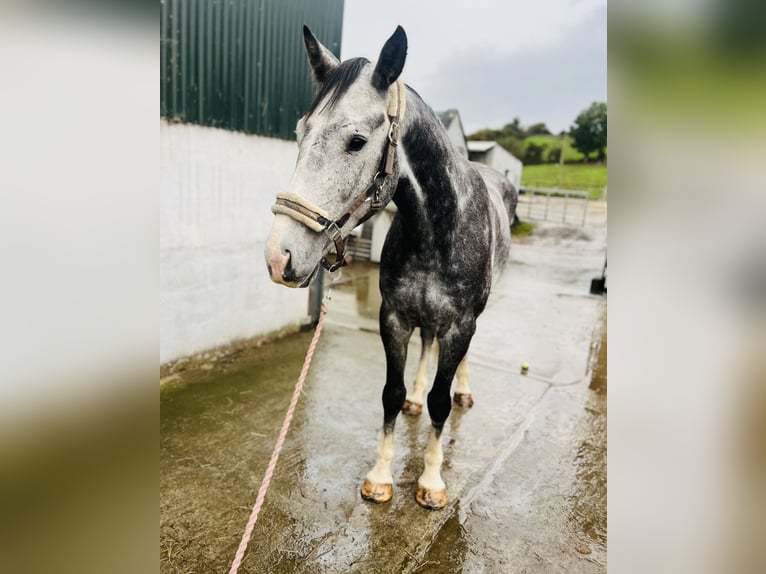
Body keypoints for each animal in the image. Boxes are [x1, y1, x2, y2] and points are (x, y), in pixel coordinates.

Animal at [265, 25, 517, 510]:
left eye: (357, 141)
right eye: (301, 133)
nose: (278, 256)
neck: (439, 228)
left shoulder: (461, 324)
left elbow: (441, 402)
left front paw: (432, 481)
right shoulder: (395, 318)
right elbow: (392, 393)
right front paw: (381, 475)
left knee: (454, 370)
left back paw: (464, 392)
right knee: (425, 350)